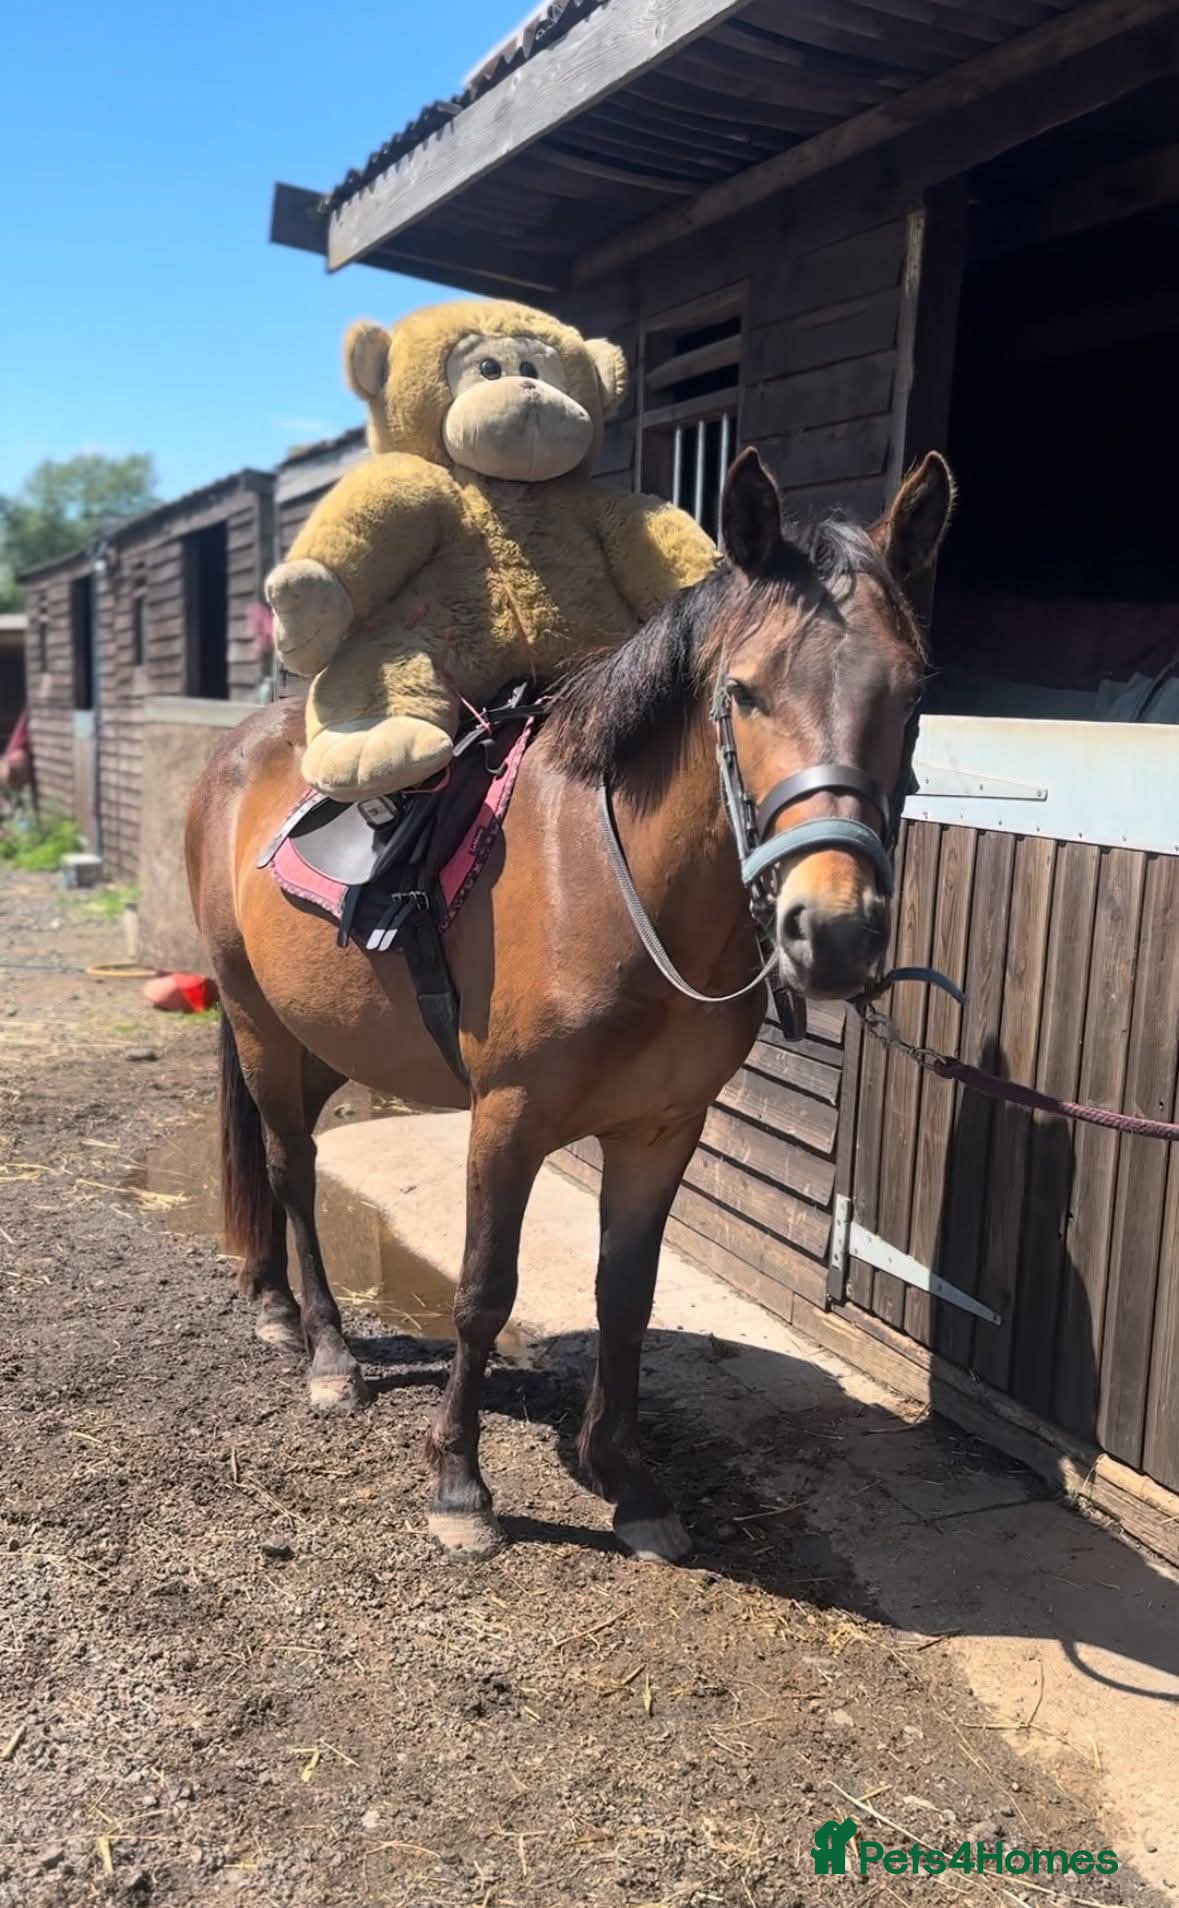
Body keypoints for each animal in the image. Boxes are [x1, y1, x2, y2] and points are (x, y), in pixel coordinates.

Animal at [187, 447, 952, 1563]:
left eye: (912, 693)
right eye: (744, 692)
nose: (835, 929)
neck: (612, 886)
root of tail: (239, 752)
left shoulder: (661, 1128)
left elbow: (623, 1296)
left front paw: (626, 1479)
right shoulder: (507, 1119)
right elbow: (480, 1294)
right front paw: (459, 1486)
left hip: (318, 1037)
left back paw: (278, 1308)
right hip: (257, 1027)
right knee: (289, 1168)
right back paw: (325, 1350)